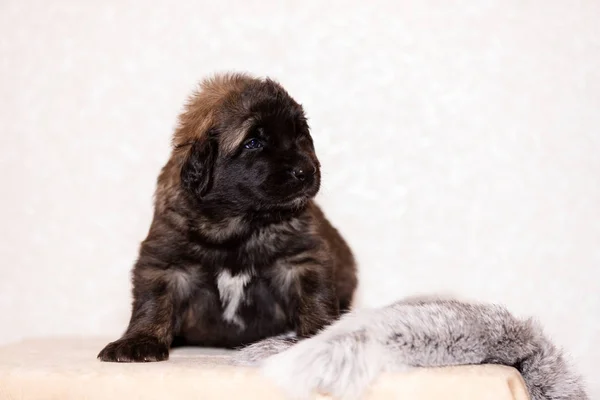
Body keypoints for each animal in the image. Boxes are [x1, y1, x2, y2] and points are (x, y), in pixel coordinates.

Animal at [98, 72, 356, 362]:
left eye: (300, 134)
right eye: (253, 142)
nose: (305, 171)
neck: (238, 223)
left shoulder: (301, 259)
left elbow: (314, 296)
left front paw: (319, 336)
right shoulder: (166, 262)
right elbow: (153, 302)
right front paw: (139, 340)